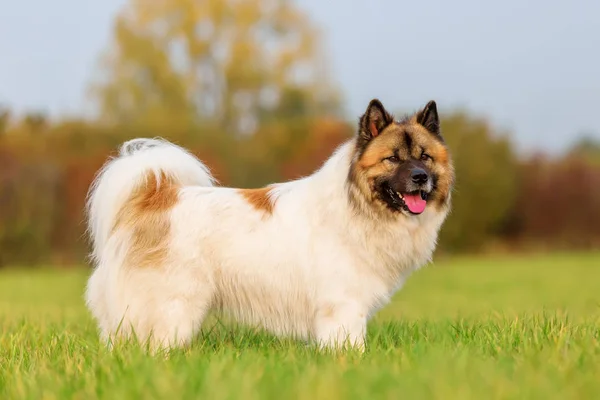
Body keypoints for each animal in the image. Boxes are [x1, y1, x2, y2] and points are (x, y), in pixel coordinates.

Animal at [84, 98, 454, 352]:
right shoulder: (343, 305)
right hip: (173, 306)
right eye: (392, 159)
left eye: (425, 157)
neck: (357, 205)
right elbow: (349, 344)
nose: (420, 178)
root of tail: (154, 197)